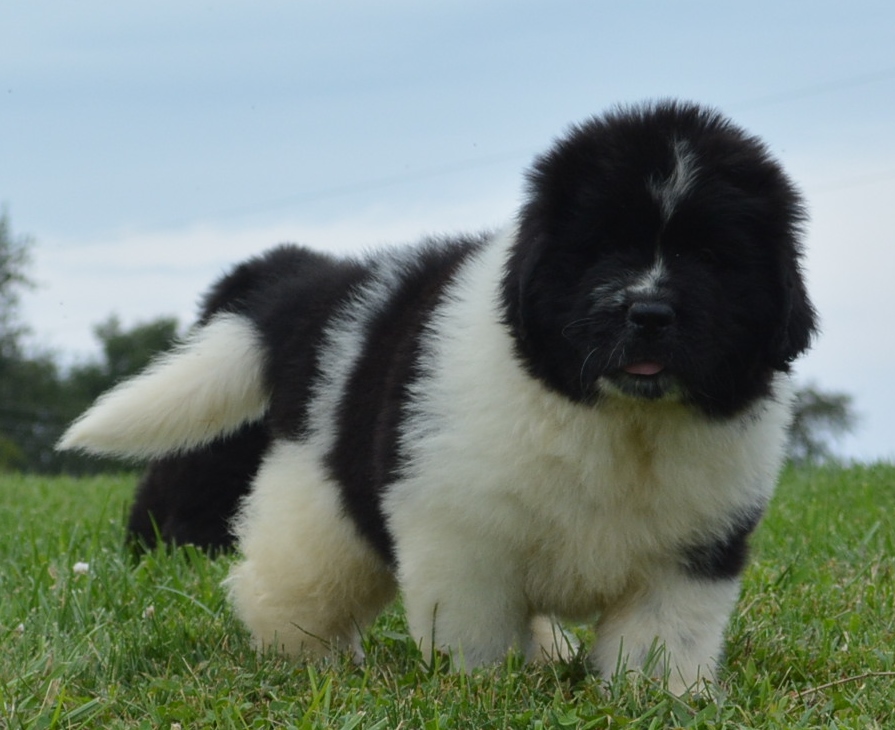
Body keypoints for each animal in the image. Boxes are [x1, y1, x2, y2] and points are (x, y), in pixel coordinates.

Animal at [59, 99, 820, 692]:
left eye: (710, 259)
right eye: (603, 249)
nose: (650, 313)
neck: (618, 417)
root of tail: (324, 290)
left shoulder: (693, 549)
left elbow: (663, 635)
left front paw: (659, 697)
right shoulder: (460, 530)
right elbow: (475, 627)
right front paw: (485, 687)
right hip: (319, 495)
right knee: (288, 576)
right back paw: (303, 657)